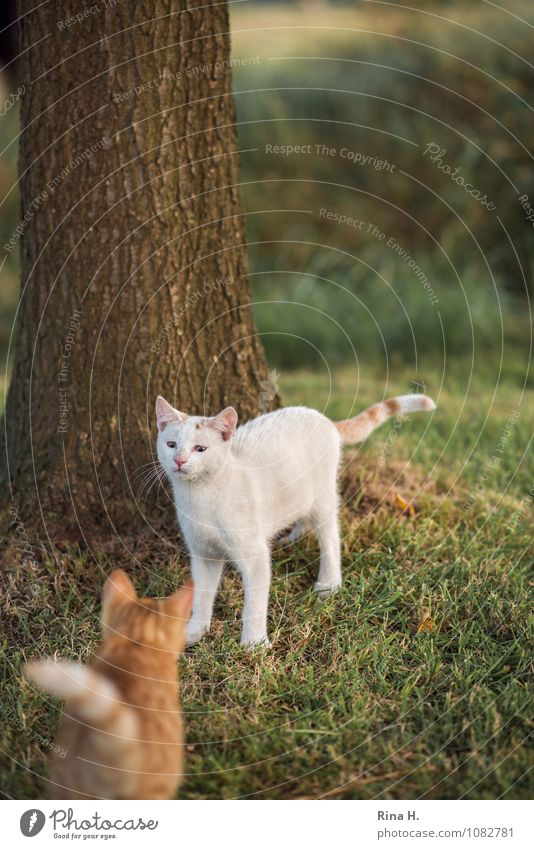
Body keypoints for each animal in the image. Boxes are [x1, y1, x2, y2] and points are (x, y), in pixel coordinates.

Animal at [155, 394, 436, 644]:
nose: (179, 460)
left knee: (330, 538)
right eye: (171, 445)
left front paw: (254, 643)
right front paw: (195, 632)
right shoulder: (204, 555)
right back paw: (291, 538)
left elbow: (254, 605)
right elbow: (202, 597)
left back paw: (329, 583)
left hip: (323, 498)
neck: (201, 495)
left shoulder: (255, 556)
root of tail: (325, 420)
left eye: (200, 449)